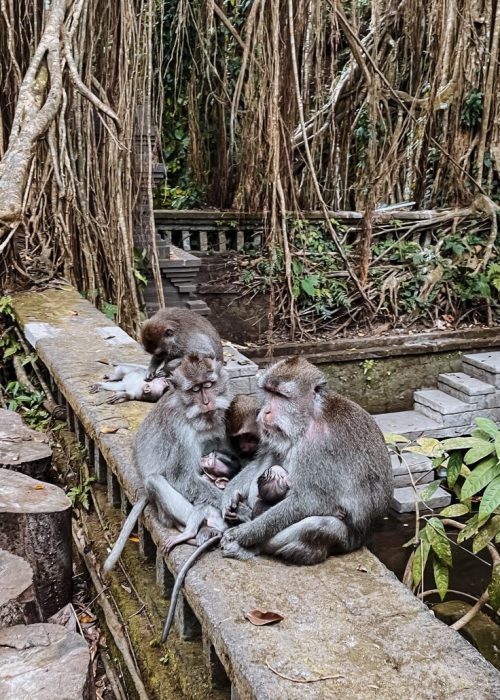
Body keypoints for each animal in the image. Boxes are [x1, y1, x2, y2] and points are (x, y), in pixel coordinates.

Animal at [103, 352, 231, 574]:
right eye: (195, 390)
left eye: (208, 385)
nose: (207, 402)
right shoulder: (180, 431)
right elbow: (182, 477)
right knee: (155, 481)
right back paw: (200, 531)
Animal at [220, 356, 393, 565]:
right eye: (269, 392)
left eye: (281, 395)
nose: (265, 411)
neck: (310, 418)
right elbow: (266, 457)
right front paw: (230, 493)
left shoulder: (320, 447)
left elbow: (310, 500)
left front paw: (243, 534)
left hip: (346, 541)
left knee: (321, 524)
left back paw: (255, 546)